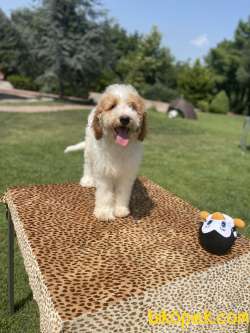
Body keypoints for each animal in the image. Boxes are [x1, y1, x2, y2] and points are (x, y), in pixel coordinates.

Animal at [65, 84, 146, 220]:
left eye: (133, 107)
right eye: (112, 106)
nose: (125, 118)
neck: (117, 146)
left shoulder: (127, 173)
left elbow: (122, 192)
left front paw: (120, 209)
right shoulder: (103, 171)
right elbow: (105, 193)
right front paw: (104, 212)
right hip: (89, 148)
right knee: (88, 164)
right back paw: (87, 179)